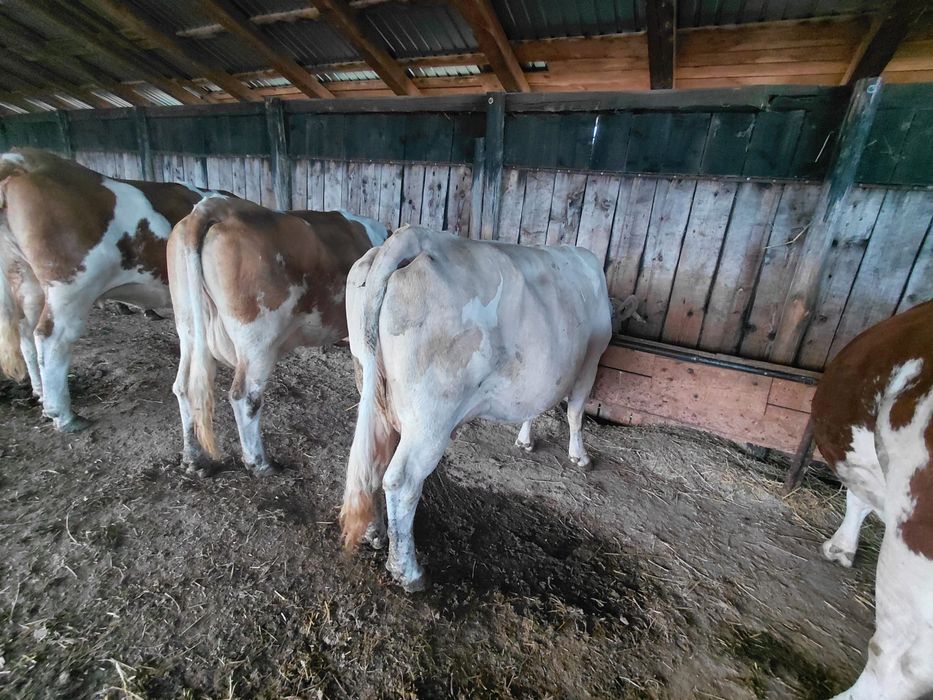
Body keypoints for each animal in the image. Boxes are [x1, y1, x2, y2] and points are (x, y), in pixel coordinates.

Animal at [0, 147, 224, 432]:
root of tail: (23, 160)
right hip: (71, 287)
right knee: (51, 338)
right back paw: (64, 415)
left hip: (27, 280)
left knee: (26, 333)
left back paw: (40, 393)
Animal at [167, 196, 387, 477]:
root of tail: (218, 205)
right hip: (258, 340)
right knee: (245, 397)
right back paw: (259, 463)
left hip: (187, 326)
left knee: (184, 386)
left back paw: (193, 459)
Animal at [340, 225, 614, 592]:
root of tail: (412, 235)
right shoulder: (591, 361)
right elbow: (575, 413)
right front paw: (579, 457)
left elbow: (534, 407)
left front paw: (525, 441)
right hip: (431, 416)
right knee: (401, 481)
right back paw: (408, 571)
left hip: (373, 386)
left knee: (374, 459)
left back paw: (375, 532)